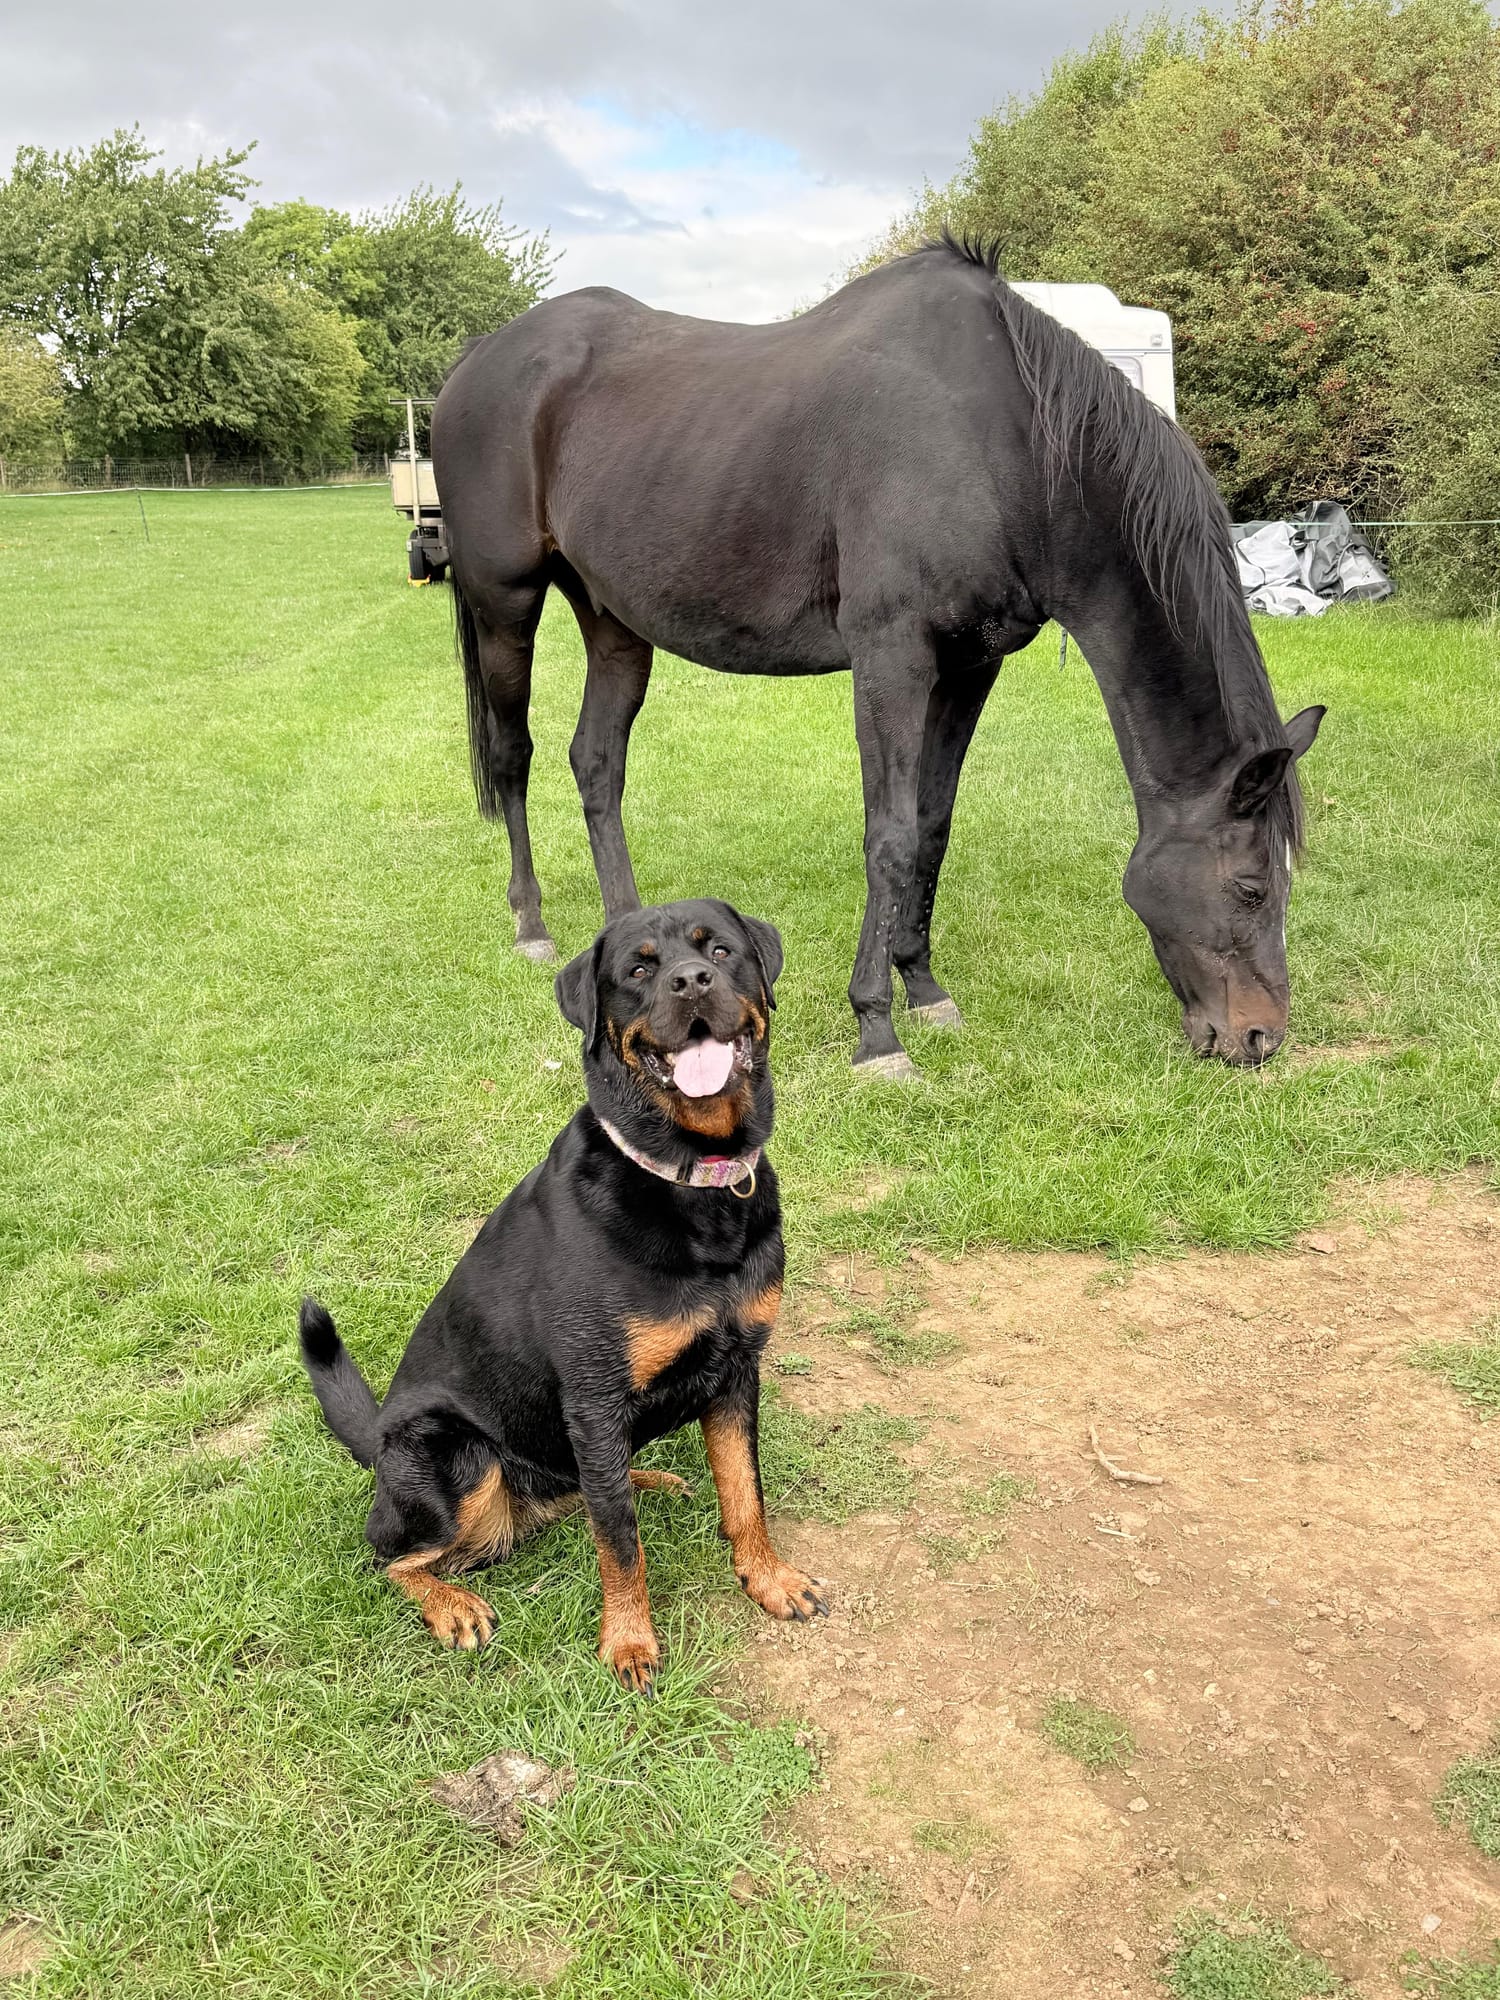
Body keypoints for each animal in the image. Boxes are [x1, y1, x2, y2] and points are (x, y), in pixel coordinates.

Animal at [431, 234, 1324, 1076]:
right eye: (1251, 889)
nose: (1259, 1036)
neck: (1006, 449)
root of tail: (480, 357)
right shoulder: (891, 657)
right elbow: (888, 836)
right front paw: (877, 1029)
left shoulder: (970, 665)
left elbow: (931, 826)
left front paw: (923, 987)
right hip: (505, 605)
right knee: (513, 757)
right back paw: (532, 924)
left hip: (614, 621)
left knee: (597, 761)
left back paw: (626, 932)